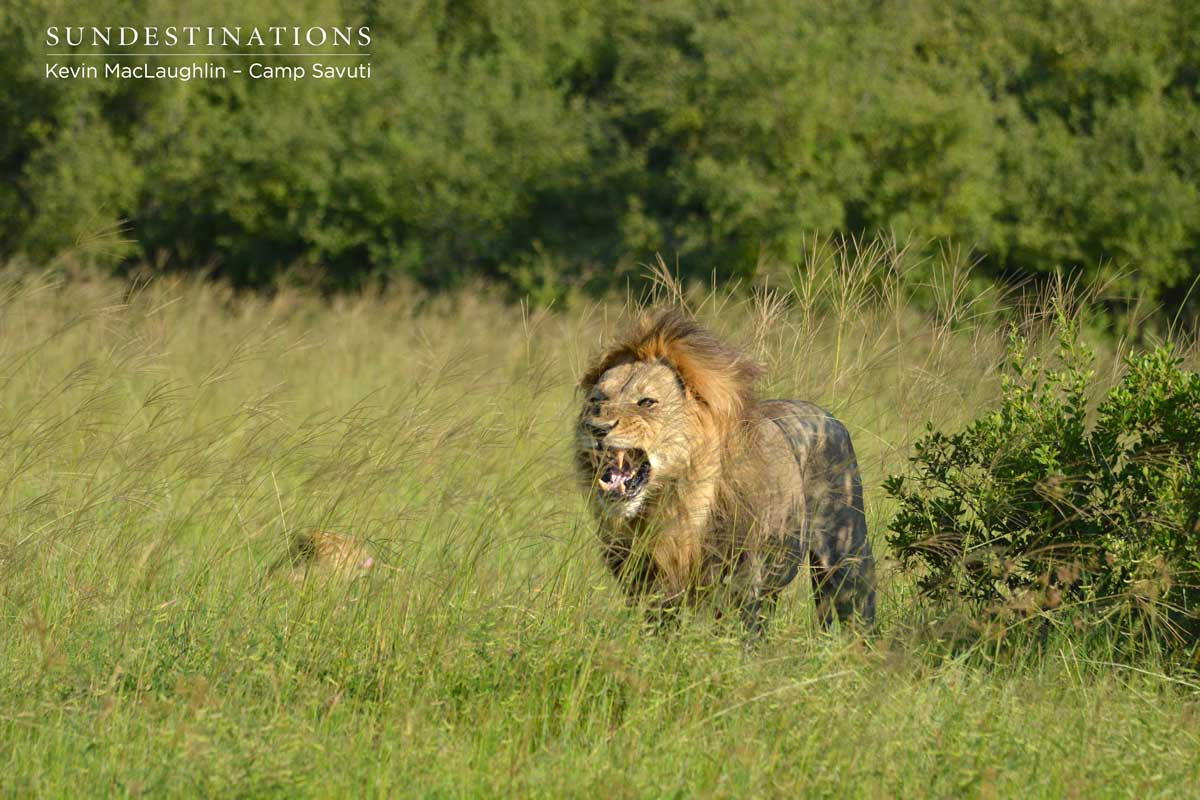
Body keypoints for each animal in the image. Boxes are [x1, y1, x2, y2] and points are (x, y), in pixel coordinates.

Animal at [576, 308, 875, 631]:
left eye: (646, 402)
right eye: (596, 401)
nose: (596, 428)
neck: (674, 503)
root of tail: (827, 414)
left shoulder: (741, 585)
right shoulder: (646, 585)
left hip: (846, 559)